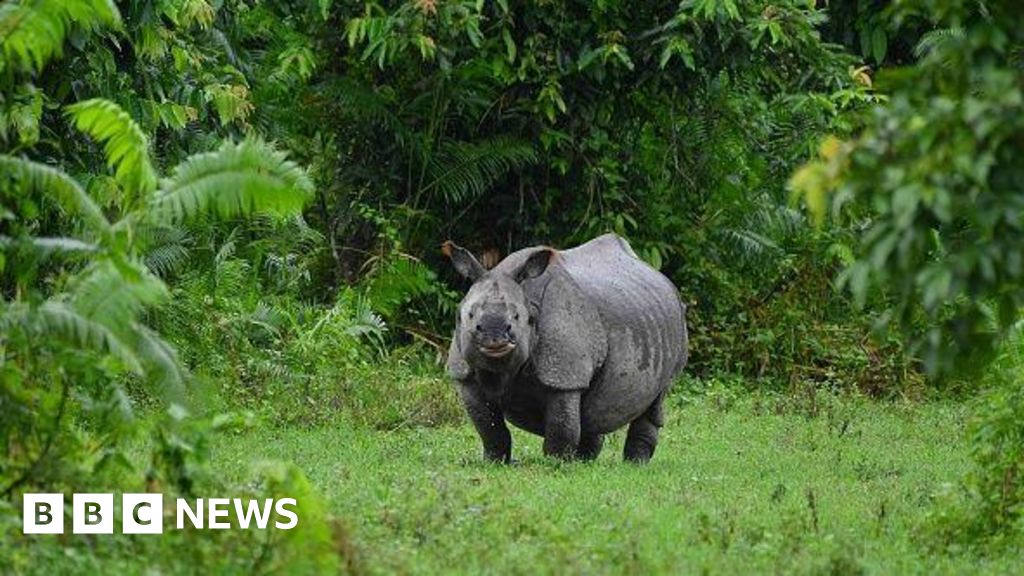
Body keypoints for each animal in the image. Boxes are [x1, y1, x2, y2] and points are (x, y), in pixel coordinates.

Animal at [442, 230, 688, 459]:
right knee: (591, 410)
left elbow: (561, 424)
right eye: (467, 316)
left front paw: (556, 464)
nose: (494, 337)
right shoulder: (464, 375)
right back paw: (586, 461)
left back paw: (633, 463)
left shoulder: (565, 374)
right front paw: (495, 461)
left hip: (676, 320)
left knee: (656, 398)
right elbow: (489, 427)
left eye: (519, 318)